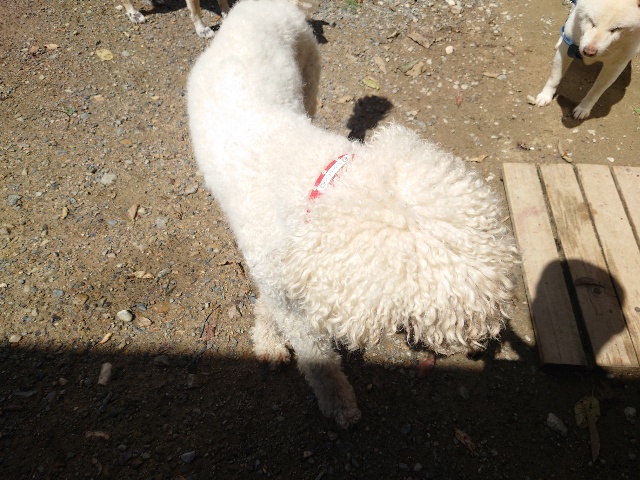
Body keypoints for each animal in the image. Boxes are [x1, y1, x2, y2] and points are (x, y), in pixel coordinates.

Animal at [188, 0, 518, 427]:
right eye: (452, 300)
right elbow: (317, 358)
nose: (488, 336)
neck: (310, 181)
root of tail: (254, 7)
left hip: (309, 75)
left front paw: (267, 337)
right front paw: (336, 400)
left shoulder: (284, 277)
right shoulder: (280, 283)